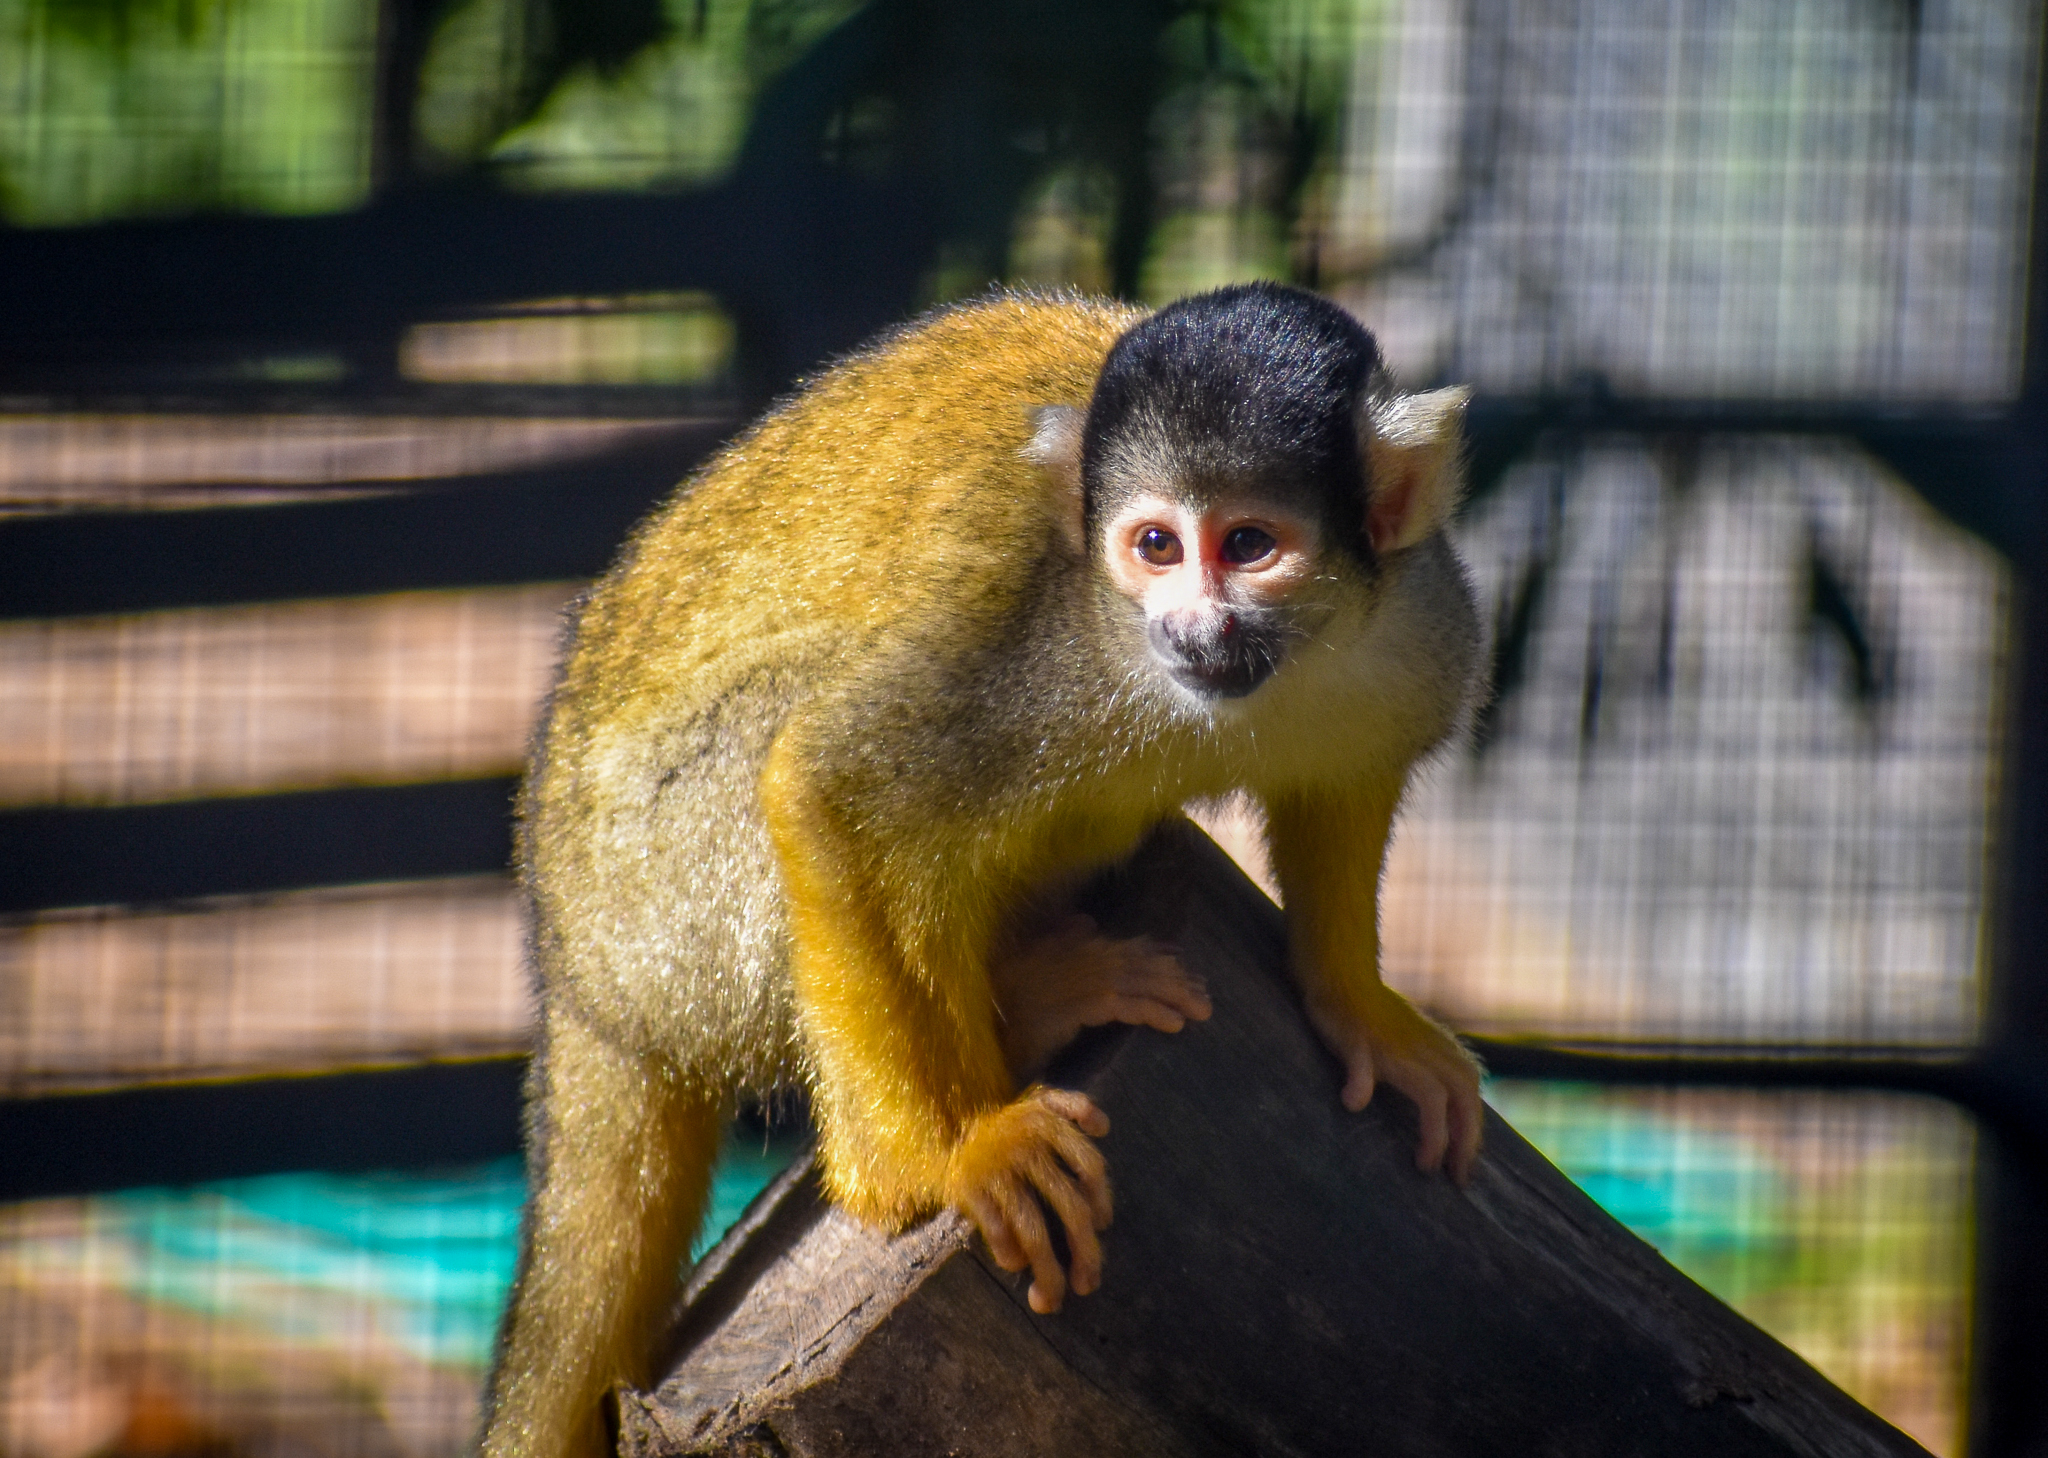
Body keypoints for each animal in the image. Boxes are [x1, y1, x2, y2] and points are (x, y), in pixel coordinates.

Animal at [483, 283, 1485, 1458]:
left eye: (1247, 544)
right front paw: (942, 1162)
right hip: (657, 909)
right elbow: (829, 787)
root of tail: (569, 974)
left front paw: (1357, 1008)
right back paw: (987, 1061)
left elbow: (1350, 774)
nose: (1191, 626)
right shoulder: (1024, 639)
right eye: (1154, 545)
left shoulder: (1416, 620)